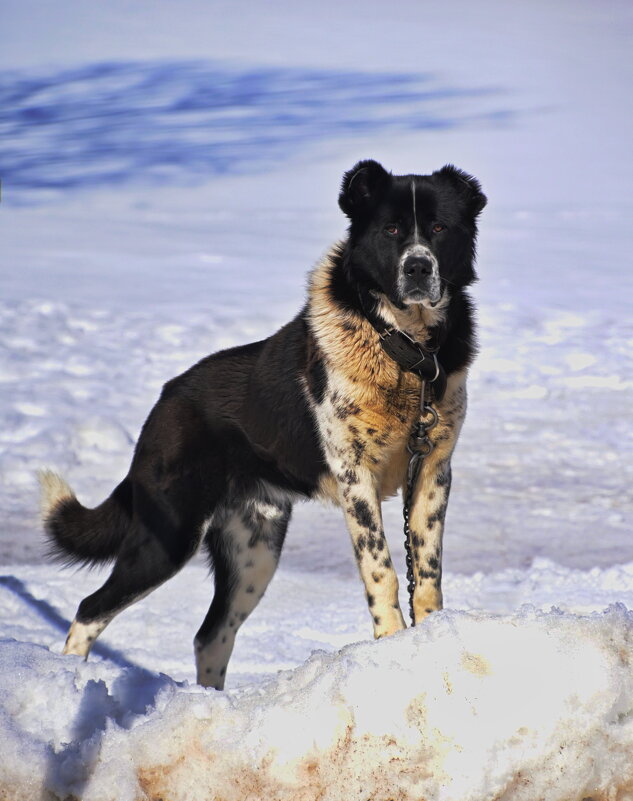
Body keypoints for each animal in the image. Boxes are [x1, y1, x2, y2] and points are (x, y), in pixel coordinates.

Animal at [40, 161, 484, 688]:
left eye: (438, 228)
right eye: (392, 230)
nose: (417, 267)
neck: (406, 352)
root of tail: (165, 401)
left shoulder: (433, 471)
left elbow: (427, 573)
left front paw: (432, 638)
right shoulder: (357, 479)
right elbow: (383, 570)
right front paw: (392, 645)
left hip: (254, 553)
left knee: (211, 636)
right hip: (169, 536)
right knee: (91, 608)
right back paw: (70, 679)